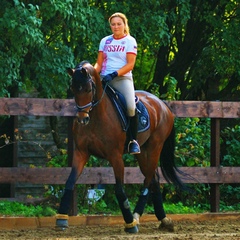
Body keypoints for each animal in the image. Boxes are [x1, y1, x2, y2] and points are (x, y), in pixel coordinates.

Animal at [55, 60, 188, 232]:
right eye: (73, 88)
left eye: (88, 89)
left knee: (148, 179)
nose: (82, 119)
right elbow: (70, 181)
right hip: (143, 152)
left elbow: (119, 189)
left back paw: (137, 217)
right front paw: (61, 219)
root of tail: (163, 105)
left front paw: (129, 223)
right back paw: (162, 219)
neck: (96, 116)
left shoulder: (115, 156)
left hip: (154, 147)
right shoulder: (81, 152)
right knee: (153, 178)